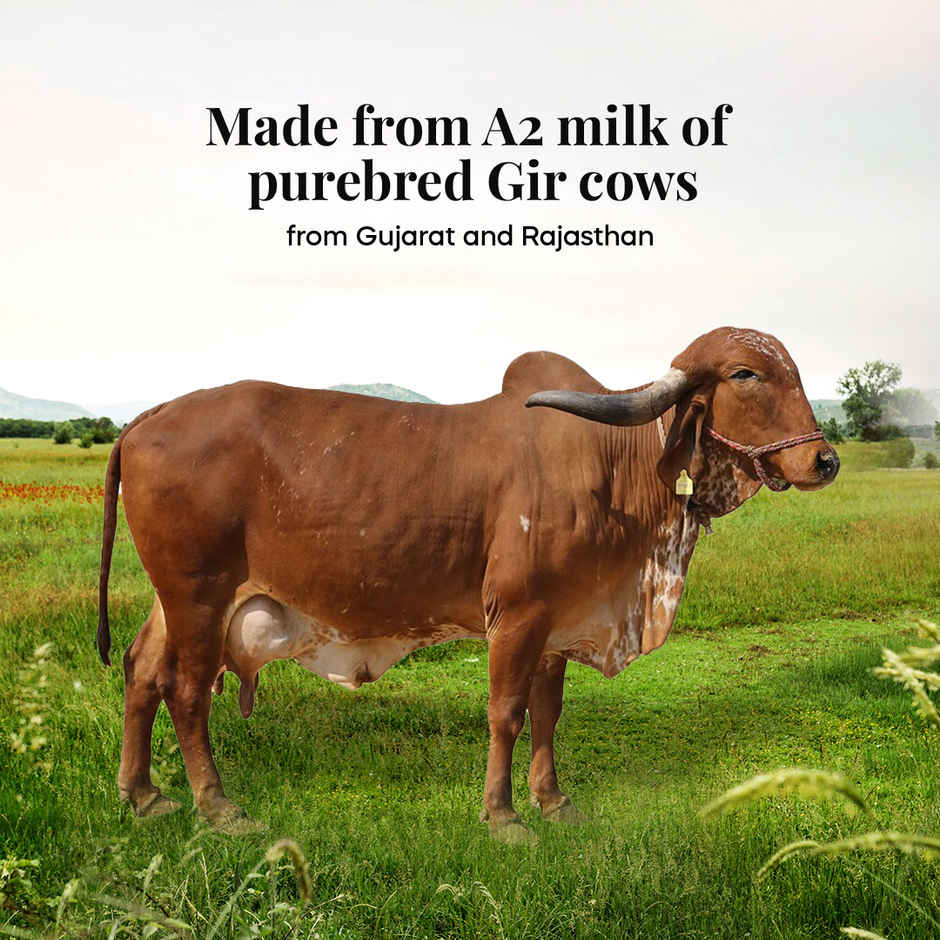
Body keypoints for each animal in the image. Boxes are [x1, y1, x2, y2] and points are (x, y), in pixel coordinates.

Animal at [97, 327, 838, 841]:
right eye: (745, 374)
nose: (825, 460)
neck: (612, 466)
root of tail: (147, 417)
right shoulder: (517, 613)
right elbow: (506, 712)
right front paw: (503, 816)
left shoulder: (561, 620)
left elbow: (547, 712)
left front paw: (553, 801)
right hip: (199, 594)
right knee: (186, 692)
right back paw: (217, 806)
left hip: (175, 598)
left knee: (140, 671)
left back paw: (142, 795)